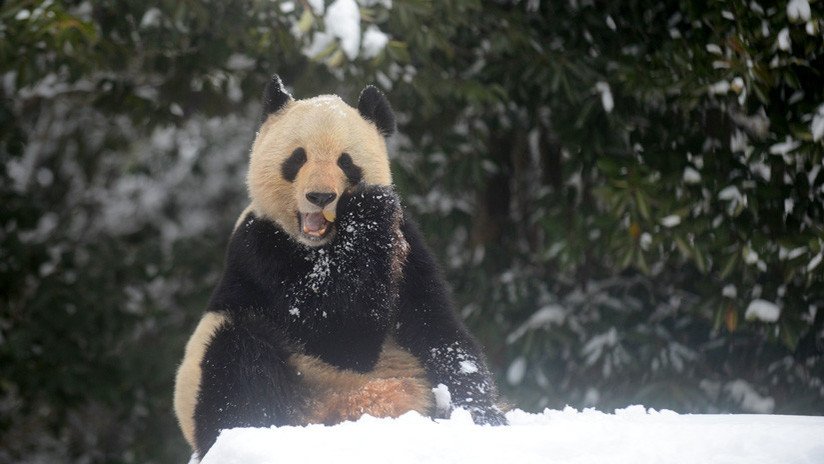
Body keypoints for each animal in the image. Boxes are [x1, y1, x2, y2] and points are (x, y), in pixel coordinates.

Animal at [174, 74, 506, 458]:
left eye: (346, 161)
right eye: (297, 158)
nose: (320, 197)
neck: (325, 245)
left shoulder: (407, 246)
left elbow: (437, 327)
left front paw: (483, 414)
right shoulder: (261, 249)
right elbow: (340, 335)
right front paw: (367, 209)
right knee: (239, 352)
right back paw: (258, 429)